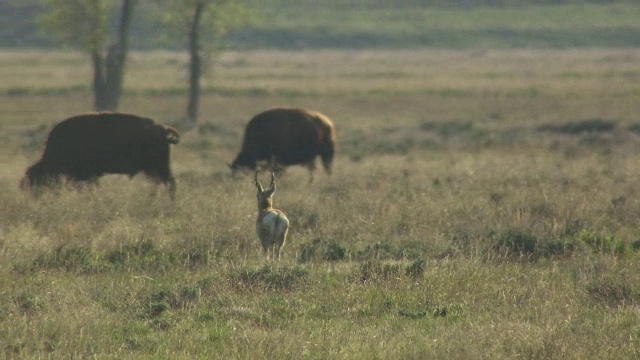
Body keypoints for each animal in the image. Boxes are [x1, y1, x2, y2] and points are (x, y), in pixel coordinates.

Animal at [21, 112, 180, 198]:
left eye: (38, 181)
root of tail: (164, 129)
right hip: (153, 169)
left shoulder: (87, 176)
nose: (36, 198)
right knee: (158, 183)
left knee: (169, 183)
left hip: (159, 167)